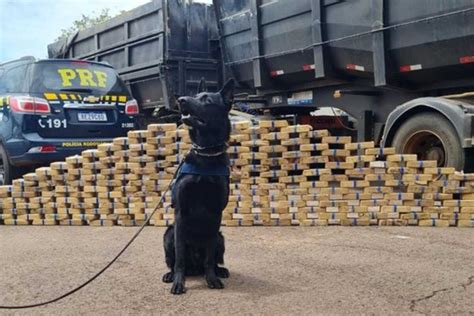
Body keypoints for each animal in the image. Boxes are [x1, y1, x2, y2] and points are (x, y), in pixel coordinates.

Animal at [162, 78, 234, 294]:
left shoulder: (215, 214)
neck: (205, 154)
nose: (181, 100)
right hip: (169, 234)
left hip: (220, 237)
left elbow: (209, 257)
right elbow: (179, 260)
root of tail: (195, 267)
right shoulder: (180, 213)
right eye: (194, 95)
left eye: (207, 99)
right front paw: (178, 282)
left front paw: (212, 278)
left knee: (211, 259)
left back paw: (220, 271)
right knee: (177, 260)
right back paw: (171, 274)